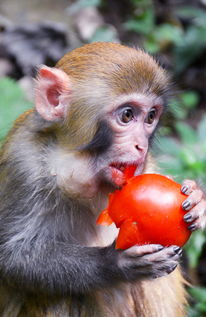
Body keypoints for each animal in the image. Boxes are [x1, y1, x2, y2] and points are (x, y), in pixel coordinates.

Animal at [0, 42, 205, 316]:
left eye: (151, 117)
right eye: (127, 115)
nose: (141, 146)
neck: (75, 165)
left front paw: (197, 200)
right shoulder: (24, 163)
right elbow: (12, 258)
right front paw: (114, 263)